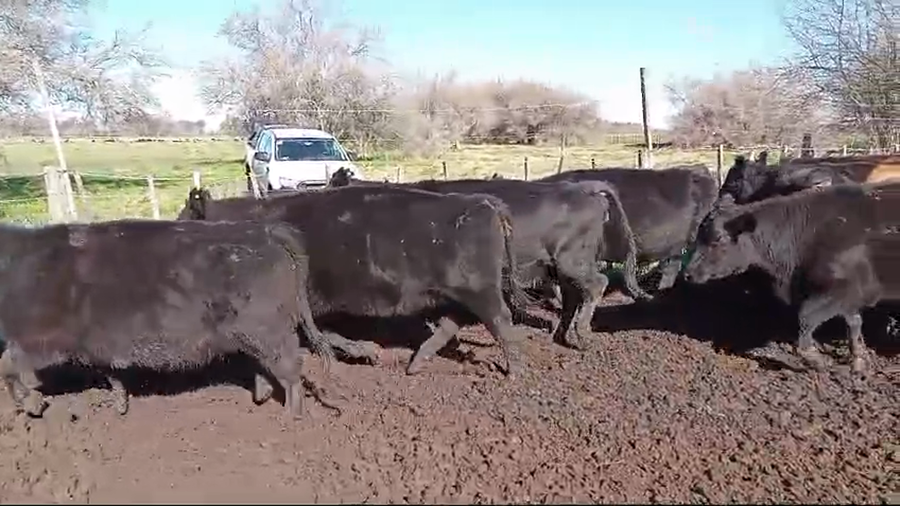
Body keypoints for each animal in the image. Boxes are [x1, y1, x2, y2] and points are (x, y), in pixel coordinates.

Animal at [0, 219, 333, 419]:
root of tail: (264, 229)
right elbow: (111, 375)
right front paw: (119, 406)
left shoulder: (39, 339)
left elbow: (7, 365)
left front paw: (33, 404)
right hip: (258, 334)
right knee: (270, 366)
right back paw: (263, 398)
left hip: (268, 330)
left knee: (290, 370)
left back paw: (289, 417)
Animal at [178, 185, 526, 376]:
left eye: (185, 219)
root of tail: (483, 202)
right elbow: (326, 333)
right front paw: (369, 351)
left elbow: (321, 335)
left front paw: (367, 351)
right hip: (457, 292)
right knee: (452, 322)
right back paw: (416, 363)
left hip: (478, 290)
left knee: (499, 320)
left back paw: (513, 370)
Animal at [683, 182, 900, 372]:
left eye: (717, 239)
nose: (687, 274)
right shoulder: (849, 298)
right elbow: (854, 325)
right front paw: (859, 362)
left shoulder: (842, 289)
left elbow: (805, 317)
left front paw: (816, 360)